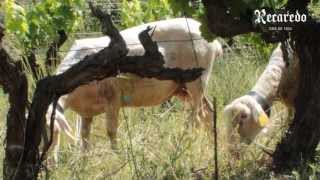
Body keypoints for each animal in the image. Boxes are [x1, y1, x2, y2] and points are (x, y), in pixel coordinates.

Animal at [47, 17, 222, 160]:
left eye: (54, 131)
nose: (47, 164)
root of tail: (216, 43)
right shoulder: (86, 111)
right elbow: (84, 137)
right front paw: (84, 162)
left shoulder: (113, 99)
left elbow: (111, 131)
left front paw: (117, 158)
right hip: (182, 88)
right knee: (208, 113)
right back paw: (211, 143)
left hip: (197, 82)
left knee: (196, 118)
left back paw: (187, 142)